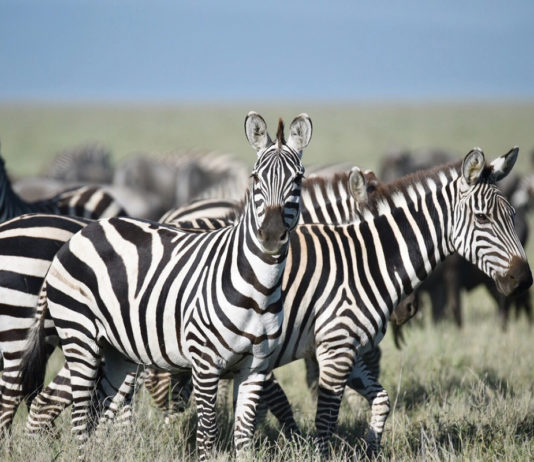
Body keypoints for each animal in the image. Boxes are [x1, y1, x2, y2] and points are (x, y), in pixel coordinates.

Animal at [21, 112, 312, 458]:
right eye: (255, 178)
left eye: (297, 180)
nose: (270, 235)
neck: (259, 288)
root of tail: (82, 233)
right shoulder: (205, 363)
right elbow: (207, 434)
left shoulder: (255, 368)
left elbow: (244, 439)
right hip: (80, 336)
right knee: (80, 417)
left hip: (118, 350)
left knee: (99, 410)